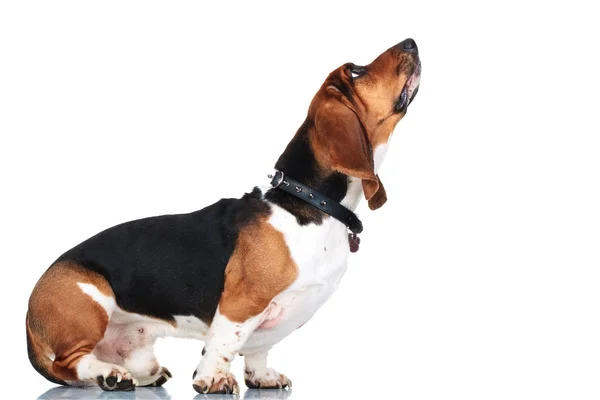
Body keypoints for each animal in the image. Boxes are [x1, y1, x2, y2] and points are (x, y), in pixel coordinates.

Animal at [25, 38, 422, 394]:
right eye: (356, 71)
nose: (411, 42)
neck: (308, 203)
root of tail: (29, 310)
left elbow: (259, 350)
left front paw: (261, 377)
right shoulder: (241, 305)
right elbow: (225, 343)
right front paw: (213, 379)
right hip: (91, 302)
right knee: (69, 364)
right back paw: (109, 375)